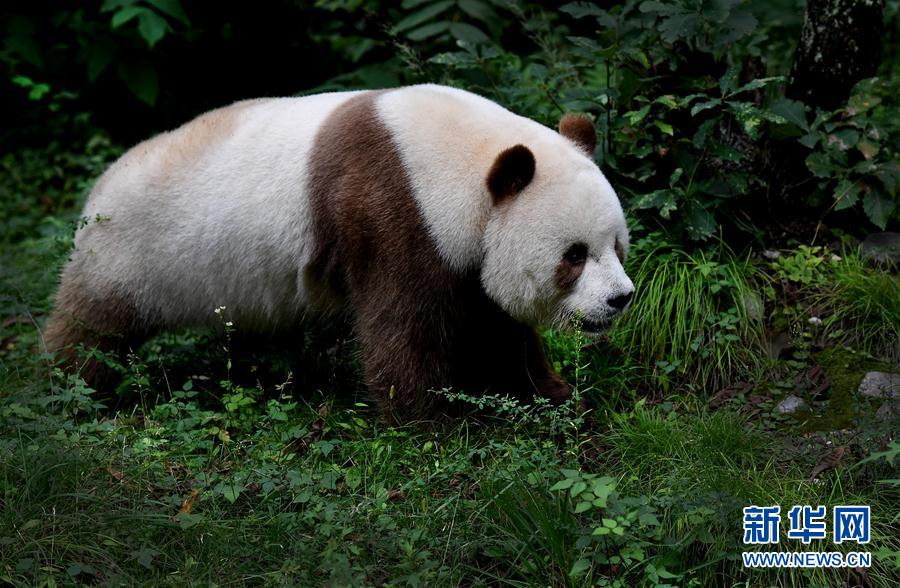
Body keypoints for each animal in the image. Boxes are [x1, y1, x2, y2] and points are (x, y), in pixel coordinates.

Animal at [44, 84, 632, 422]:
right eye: (574, 256)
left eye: (617, 246)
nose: (620, 300)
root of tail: (97, 190)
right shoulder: (391, 209)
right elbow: (403, 325)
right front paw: (431, 422)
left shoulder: (464, 245)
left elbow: (498, 326)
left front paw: (559, 397)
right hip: (129, 252)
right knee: (92, 328)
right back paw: (70, 393)